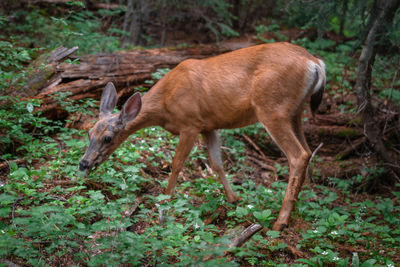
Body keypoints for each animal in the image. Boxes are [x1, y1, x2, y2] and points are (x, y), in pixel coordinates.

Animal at [79, 42, 324, 232]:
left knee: (298, 155)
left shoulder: (191, 123)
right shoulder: (209, 126)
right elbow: (217, 164)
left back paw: (280, 222)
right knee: (308, 152)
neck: (165, 104)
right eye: (89, 132)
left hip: (272, 108)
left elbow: (177, 164)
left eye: (108, 138)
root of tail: (314, 62)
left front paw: (165, 200)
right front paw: (233, 199)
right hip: (295, 112)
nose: (84, 163)